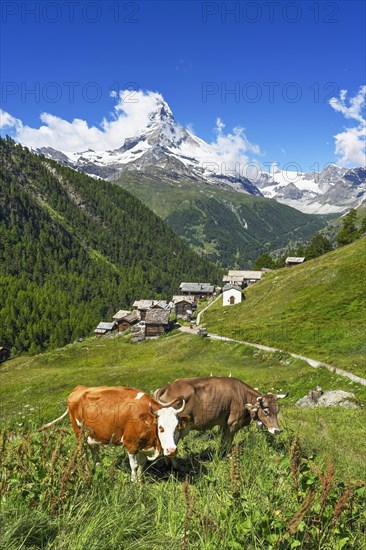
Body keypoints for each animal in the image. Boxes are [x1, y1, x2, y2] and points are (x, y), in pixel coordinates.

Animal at [40, 386, 189, 480]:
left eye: (177, 427)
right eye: (161, 428)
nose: (171, 450)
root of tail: (79, 388)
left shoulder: (142, 444)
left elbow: (142, 464)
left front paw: (141, 481)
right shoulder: (130, 444)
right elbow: (134, 465)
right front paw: (134, 483)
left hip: (93, 435)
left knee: (94, 451)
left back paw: (98, 469)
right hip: (79, 433)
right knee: (83, 454)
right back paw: (87, 473)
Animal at [153, 378, 288, 454]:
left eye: (277, 410)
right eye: (265, 411)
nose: (277, 430)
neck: (243, 396)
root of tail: (168, 386)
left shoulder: (224, 425)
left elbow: (223, 442)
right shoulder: (232, 424)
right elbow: (227, 443)